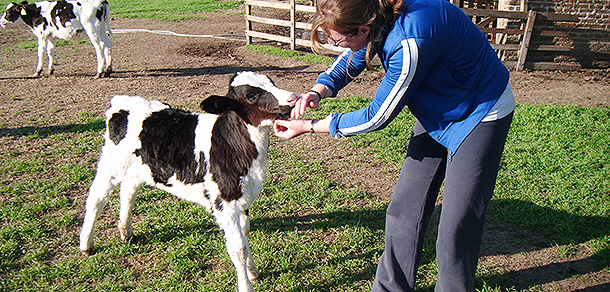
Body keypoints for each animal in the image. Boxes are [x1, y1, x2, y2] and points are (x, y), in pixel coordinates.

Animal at [79, 71, 294, 292]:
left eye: (272, 82)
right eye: (251, 95)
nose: (293, 98)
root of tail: (121, 102)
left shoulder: (242, 198)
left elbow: (245, 233)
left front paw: (253, 272)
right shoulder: (223, 202)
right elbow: (238, 248)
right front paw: (246, 285)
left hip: (138, 168)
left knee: (128, 192)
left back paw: (126, 232)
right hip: (110, 166)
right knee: (96, 200)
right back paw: (86, 245)